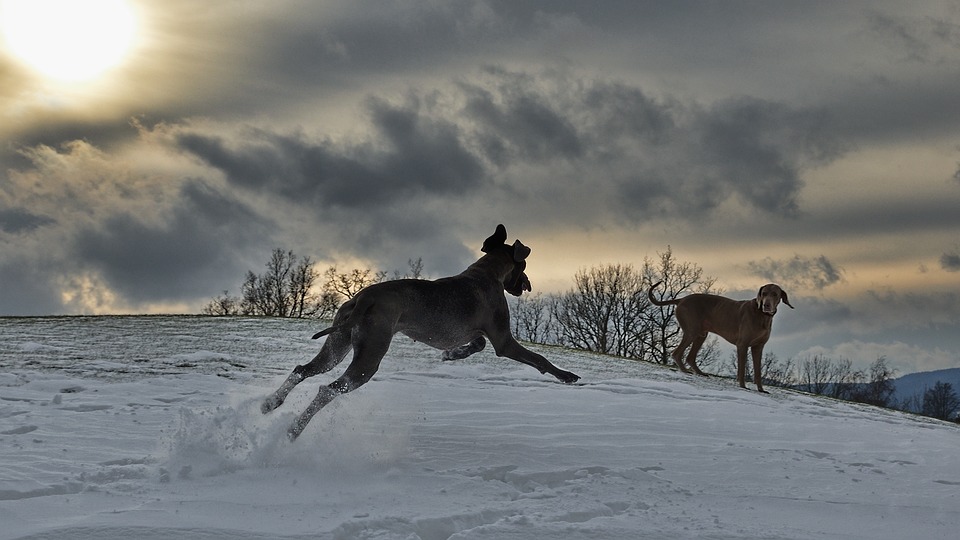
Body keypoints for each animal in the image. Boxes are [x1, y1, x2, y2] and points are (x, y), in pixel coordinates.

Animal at [258, 224, 580, 438]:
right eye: (523, 266)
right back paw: (294, 430)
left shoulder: (474, 334)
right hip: (369, 355)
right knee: (329, 389)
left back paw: (271, 402)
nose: (528, 285)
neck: (486, 273)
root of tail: (364, 298)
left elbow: (476, 344)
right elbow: (539, 359)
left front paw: (451, 355)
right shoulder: (504, 340)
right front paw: (566, 376)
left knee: (303, 369)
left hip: (337, 343)